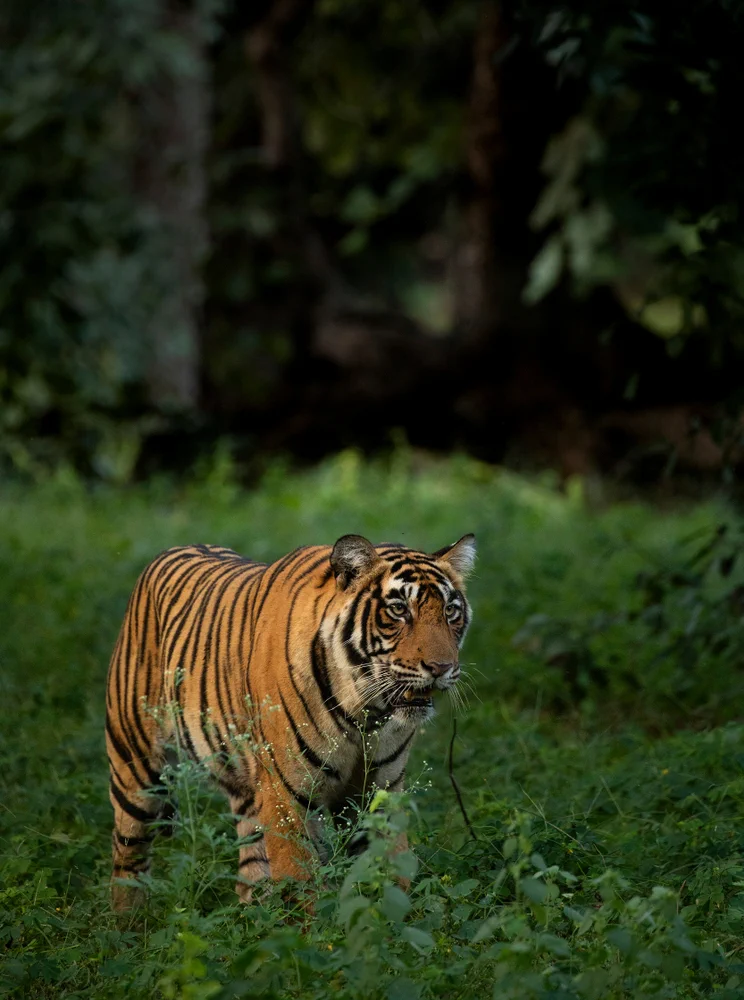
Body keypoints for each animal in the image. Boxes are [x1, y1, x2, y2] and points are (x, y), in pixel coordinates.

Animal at [105, 532, 475, 910]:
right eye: (399, 609)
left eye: (450, 611)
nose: (442, 667)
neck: (365, 709)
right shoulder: (287, 793)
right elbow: (301, 882)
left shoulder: (380, 791)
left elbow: (388, 875)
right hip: (136, 768)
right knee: (128, 859)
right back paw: (129, 921)